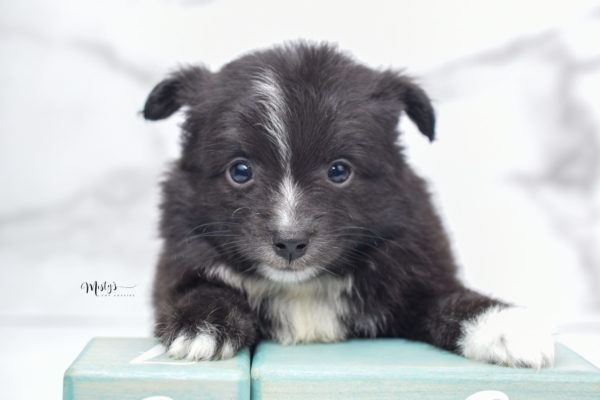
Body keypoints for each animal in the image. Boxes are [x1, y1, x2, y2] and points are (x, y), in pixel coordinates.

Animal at [143, 42, 556, 368]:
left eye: (339, 171)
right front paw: (201, 325)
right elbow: (201, 288)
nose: (290, 242)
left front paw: (508, 328)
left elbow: (453, 301)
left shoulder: (418, 275)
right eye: (240, 171)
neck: (304, 287)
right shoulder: (181, 261)